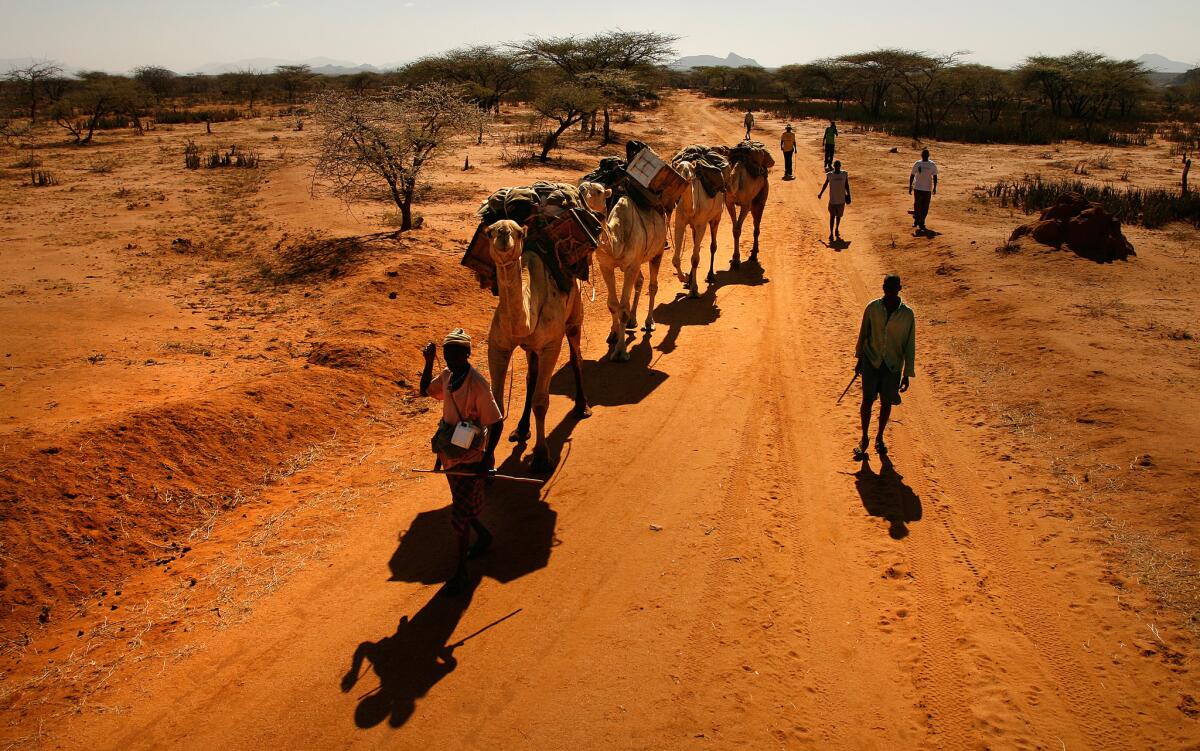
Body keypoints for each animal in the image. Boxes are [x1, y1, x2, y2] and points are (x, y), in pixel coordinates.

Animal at [480, 219, 588, 470]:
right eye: (489, 232)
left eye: (519, 232)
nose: (503, 234)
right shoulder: (498, 346)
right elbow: (496, 403)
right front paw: (486, 459)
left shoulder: (550, 345)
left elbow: (541, 401)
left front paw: (541, 457)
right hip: (531, 348)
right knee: (532, 375)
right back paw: (521, 429)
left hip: (574, 316)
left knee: (575, 356)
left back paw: (581, 407)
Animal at [578, 179, 672, 357]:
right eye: (580, 186)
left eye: (599, 191)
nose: (581, 190)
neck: (616, 242)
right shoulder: (606, 265)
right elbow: (612, 305)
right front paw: (613, 334)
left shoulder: (630, 266)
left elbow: (622, 307)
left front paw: (620, 351)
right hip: (639, 260)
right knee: (640, 281)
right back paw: (632, 320)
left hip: (657, 252)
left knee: (652, 285)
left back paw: (649, 322)